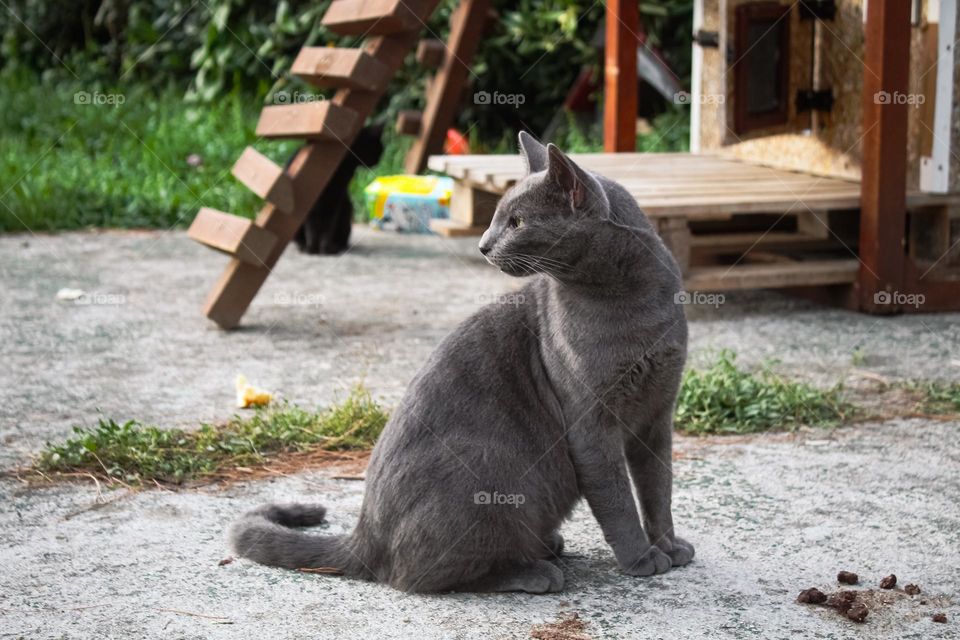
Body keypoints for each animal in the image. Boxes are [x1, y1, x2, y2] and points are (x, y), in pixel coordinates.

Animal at [294, 124, 384, 254]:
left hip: (346, 210)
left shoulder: (336, 198)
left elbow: (328, 227)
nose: (380, 161)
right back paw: (302, 245)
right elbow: (311, 227)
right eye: (379, 149)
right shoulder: (312, 199)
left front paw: (325, 249)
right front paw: (311, 249)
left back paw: (337, 246)